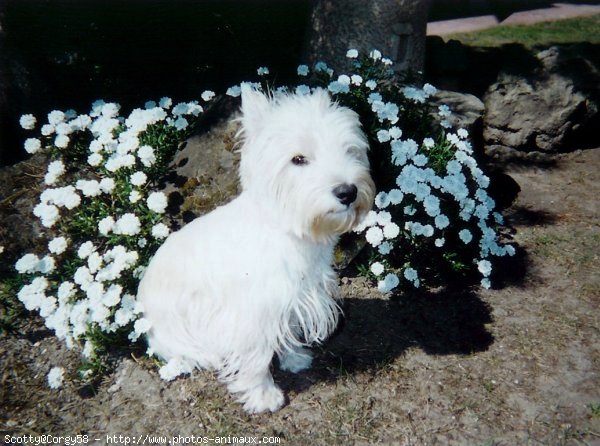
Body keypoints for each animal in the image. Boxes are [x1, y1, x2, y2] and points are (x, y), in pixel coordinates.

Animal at [139, 85, 376, 412]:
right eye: (298, 159)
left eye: (350, 150)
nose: (347, 192)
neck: (288, 232)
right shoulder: (251, 313)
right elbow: (256, 356)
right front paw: (263, 395)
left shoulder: (293, 297)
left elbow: (288, 330)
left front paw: (294, 358)